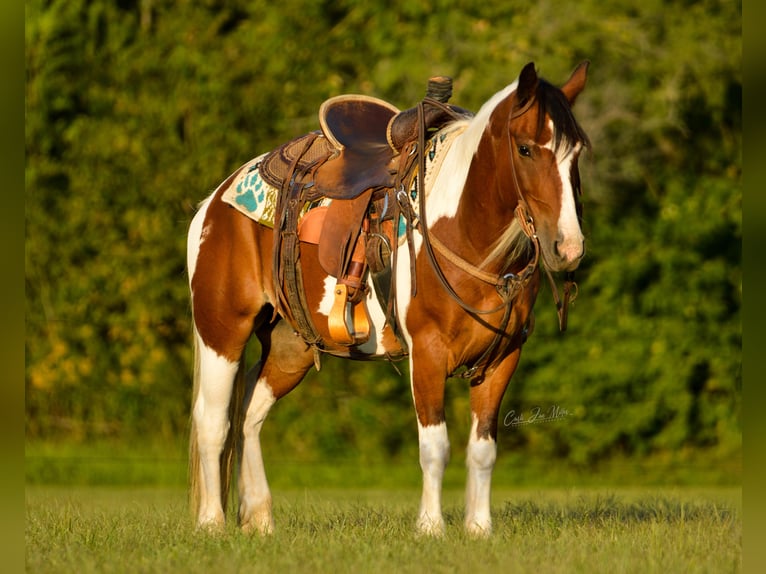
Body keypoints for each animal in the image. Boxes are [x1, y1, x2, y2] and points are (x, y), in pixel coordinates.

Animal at [188, 60, 592, 536]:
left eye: (577, 152)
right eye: (526, 149)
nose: (568, 247)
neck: (464, 231)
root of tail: (214, 202)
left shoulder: (502, 358)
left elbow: (483, 450)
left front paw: (479, 529)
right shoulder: (428, 354)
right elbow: (435, 447)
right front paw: (431, 528)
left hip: (291, 347)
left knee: (250, 413)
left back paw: (260, 519)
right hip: (221, 332)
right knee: (213, 421)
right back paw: (211, 522)